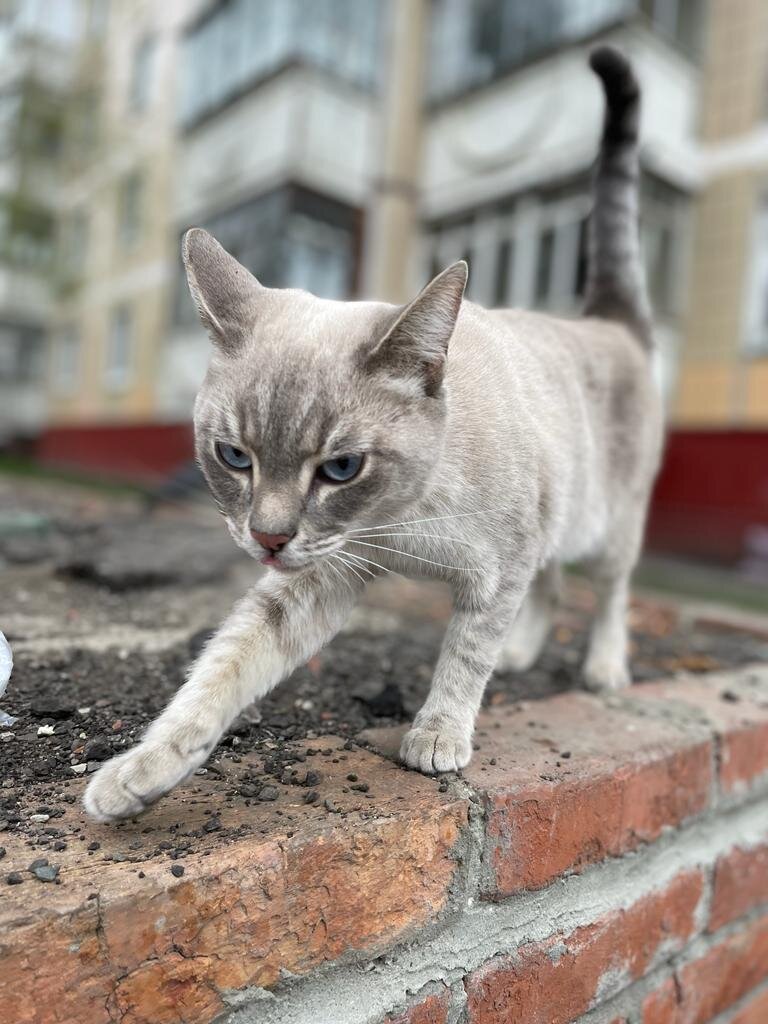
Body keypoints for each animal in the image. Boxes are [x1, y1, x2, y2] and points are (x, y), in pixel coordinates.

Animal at [83, 48, 663, 823]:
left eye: (341, 468)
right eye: (234, 457)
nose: (267, 539)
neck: (403, 525)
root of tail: (605, 320)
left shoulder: (496, 570)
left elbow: (465, 657)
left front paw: (438, 735)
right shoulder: (320, 576)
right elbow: (222, 667)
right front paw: (142, 771)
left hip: (608, 527)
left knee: (608, 593)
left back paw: (602, 667)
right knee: (554, 583)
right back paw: (525, 653)